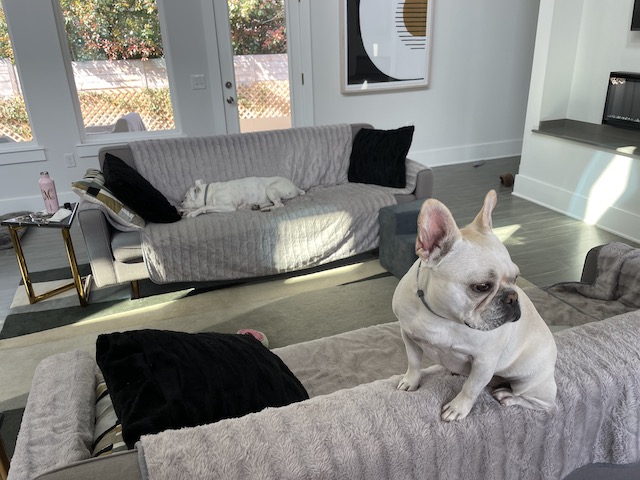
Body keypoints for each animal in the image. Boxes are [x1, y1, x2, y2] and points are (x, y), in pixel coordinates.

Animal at [392, 190, 557, 422]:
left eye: (516, 278)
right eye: (482, 286)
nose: (513, 297)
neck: (442, 316)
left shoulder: (484, 361)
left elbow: (471, 387)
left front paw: (457, 408)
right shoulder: (408, 336)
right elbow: (414, 363)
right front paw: (411, 382)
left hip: (530, 382)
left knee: (543, 404)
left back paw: (508, 396)